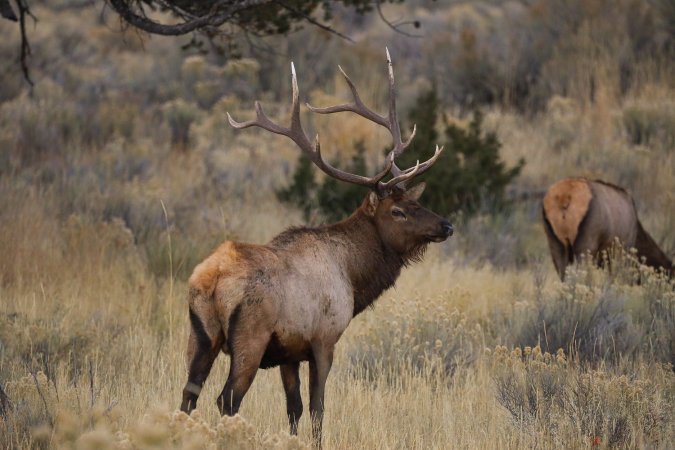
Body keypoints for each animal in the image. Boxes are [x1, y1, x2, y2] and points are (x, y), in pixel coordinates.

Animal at [180, 51, 454, 444]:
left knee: (188, 395)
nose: (446, 225)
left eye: (417, 202)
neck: (354, 278)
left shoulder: (289, 353)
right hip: (250, 336)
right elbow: (317, 409)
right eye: (398, 211)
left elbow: (293, 409)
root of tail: (212, 278)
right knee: (226, 399)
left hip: (200, 334)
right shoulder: (324, 339)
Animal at [544, 178, 675, 280]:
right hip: (586, 244)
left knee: (563, 275)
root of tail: (565, 197)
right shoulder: (622, 251)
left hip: (555, 242)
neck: (638, 234)